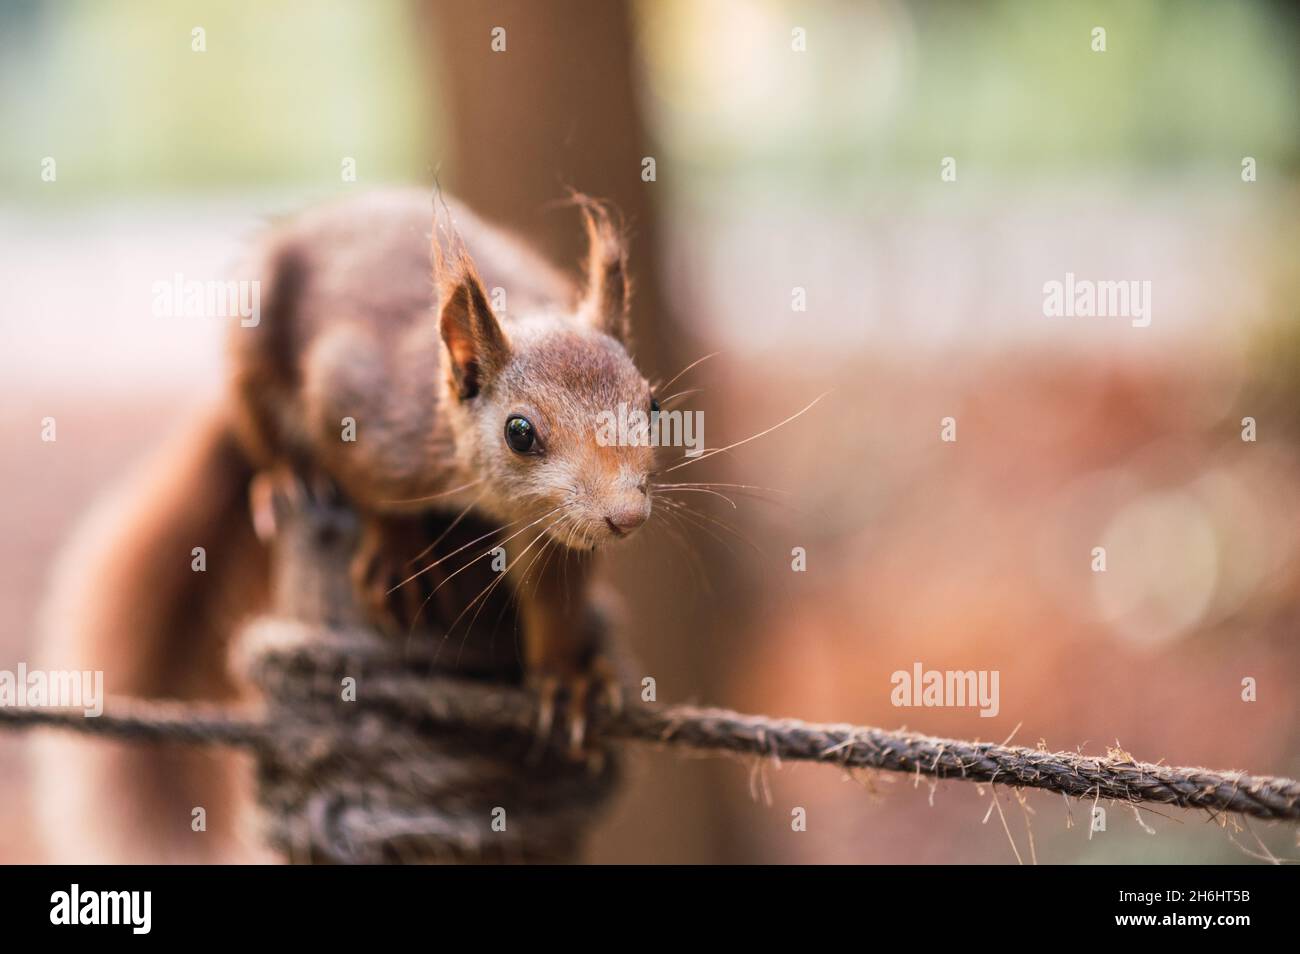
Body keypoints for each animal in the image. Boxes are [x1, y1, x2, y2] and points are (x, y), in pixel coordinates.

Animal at [35, 188, 655, 868]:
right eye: (520, 432)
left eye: (653, 405)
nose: (627, 516)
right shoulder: (359, 404)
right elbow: (365, 479)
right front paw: (397, 551)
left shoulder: (553, 529)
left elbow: (552, 594)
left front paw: (571, 681)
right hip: (252, 343)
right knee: (260, 422)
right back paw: (291, 476)